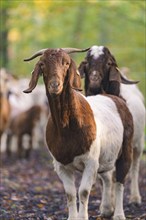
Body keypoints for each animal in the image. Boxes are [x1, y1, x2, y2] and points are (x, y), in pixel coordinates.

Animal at [23, 47, 134, 219]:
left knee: (120, 180)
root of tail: (114, 97)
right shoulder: (61, 165)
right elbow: (70, 193)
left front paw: (82, 216)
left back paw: (119, 214)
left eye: (66, 63)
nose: (55, 85)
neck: (67, 127)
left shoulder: (91, 162)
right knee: (107, 177)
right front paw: (73, 217)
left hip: (126, 149)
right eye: (42, 64)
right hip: (106, 156)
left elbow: (83, 191)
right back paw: (107, 209)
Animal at [78, 45, 145, 205]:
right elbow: (105, 176)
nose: (94, 82)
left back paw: (135, 197)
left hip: (138, 143)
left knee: (135, 166)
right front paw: (107, 204)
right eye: (87, 62)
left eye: (108, 63)